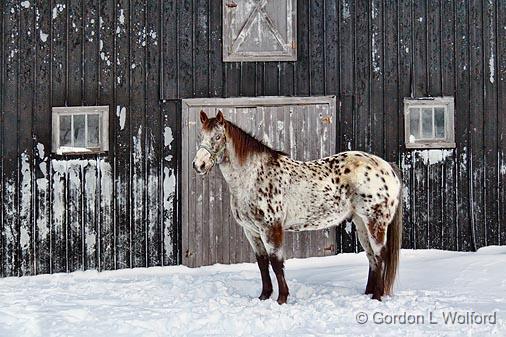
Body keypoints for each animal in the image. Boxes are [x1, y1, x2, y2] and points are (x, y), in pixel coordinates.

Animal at [192, 111, 402, 304]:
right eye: (201, 135)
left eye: (217, 137)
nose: (198, 165)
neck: (253, 176)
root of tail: (386, 167)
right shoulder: (251, 231)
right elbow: (262, 263)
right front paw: (264, 296)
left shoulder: (271, 228)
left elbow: (276, 263)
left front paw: (282, 298)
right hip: (361, 223)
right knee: (371, 257)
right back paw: (368, 295)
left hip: (375, 222)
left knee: (379, 255)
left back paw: (377, 296)